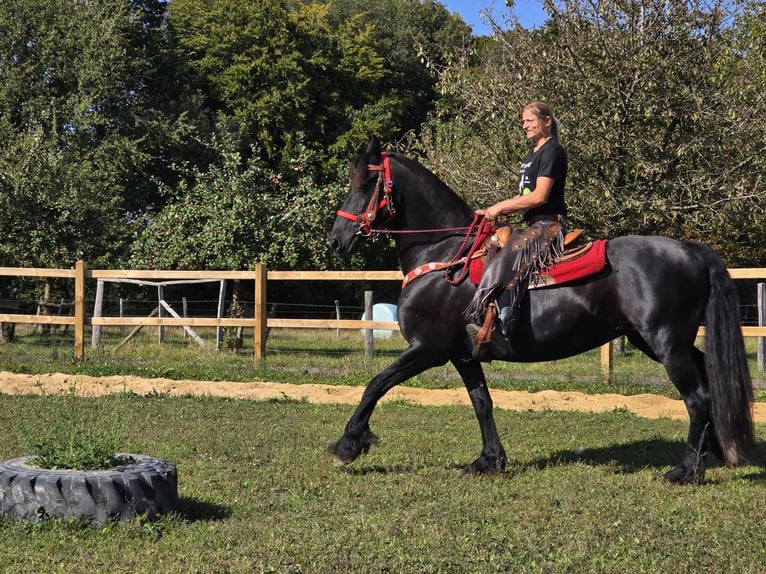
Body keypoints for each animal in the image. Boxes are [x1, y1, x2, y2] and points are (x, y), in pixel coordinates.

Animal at [328, 138, 752, 486]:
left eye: (364, 184)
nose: (336, 240)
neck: (445, 254)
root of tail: (690, 249)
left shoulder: (427, 349)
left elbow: (376, 384)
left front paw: (348, 445)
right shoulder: (462, 354)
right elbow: (482, 402)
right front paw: (490, 460)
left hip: (665, 344)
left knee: (697, 397)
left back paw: (686, 470)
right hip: (659, 341)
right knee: (708, 380)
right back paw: (714, 450)